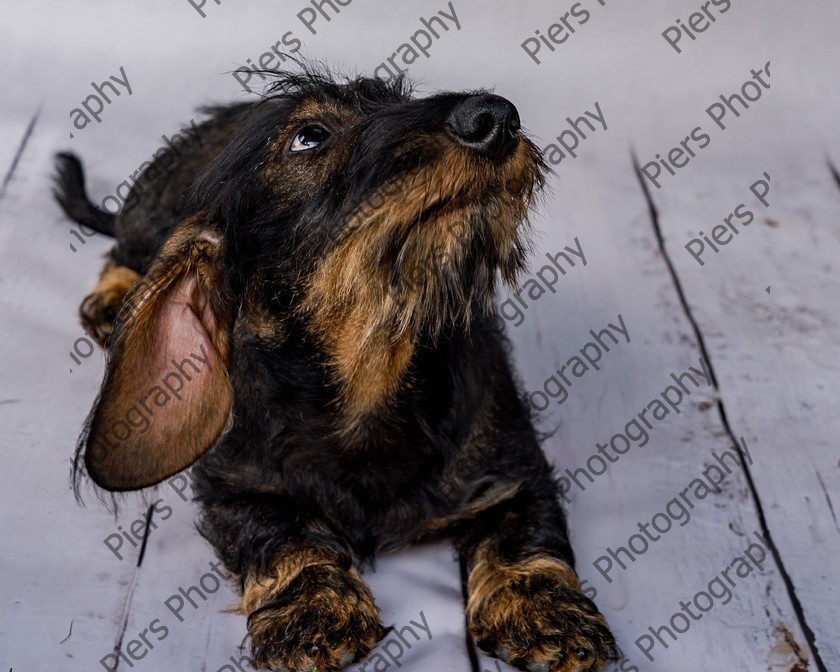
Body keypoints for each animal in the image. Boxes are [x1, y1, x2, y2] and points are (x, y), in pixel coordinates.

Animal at [54, 67, 616, 672]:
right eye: (310, 136)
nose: (495, 116)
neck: (368, 375)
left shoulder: (514, 465)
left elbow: (521, 529)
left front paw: (544, 607)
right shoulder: (237, 485)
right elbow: (283, 530)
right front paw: (314, 605)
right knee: (121, 253)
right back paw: (114, 300)